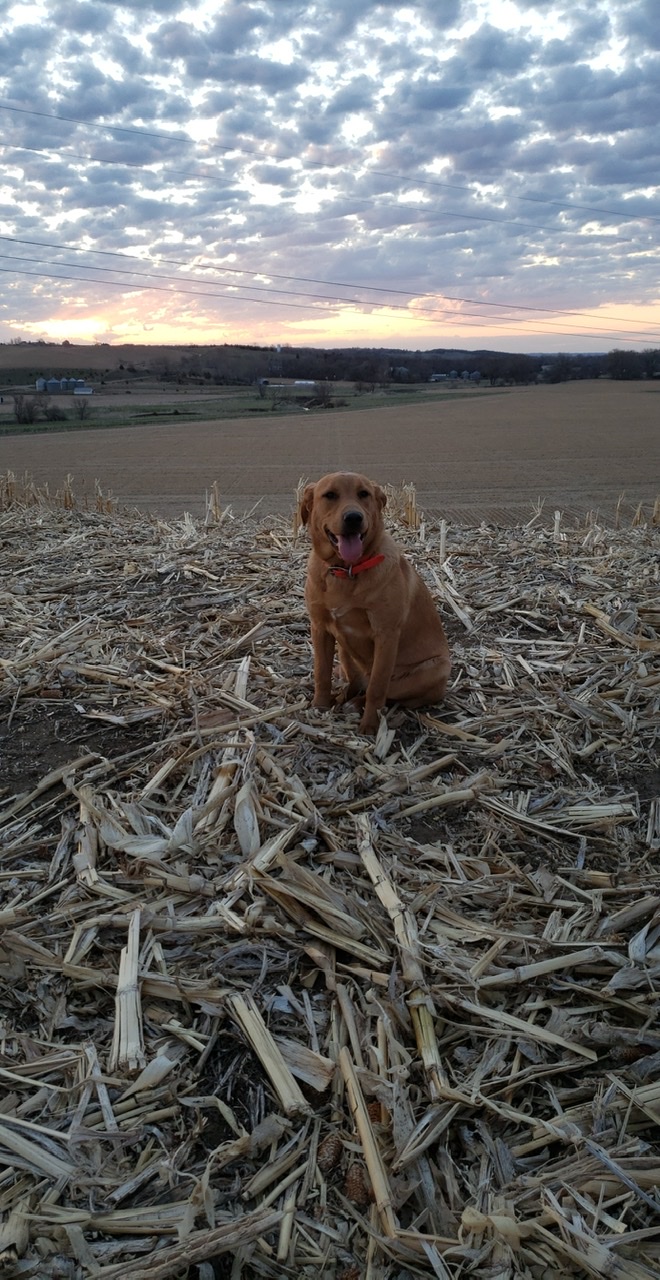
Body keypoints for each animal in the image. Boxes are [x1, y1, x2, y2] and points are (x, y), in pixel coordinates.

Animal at [301, 473, 450, 737]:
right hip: (345, 655)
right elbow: (322, 673)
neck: (346, 571)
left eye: (364, 494)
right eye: (330, 495)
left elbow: (378, 688)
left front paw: (370, 726)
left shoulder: (386, 634)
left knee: (387, 692)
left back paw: (355, 704)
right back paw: (343, 697)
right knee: (353, 681)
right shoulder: (319, 627)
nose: (353, 518)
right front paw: (320, 706)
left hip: (435, 669)